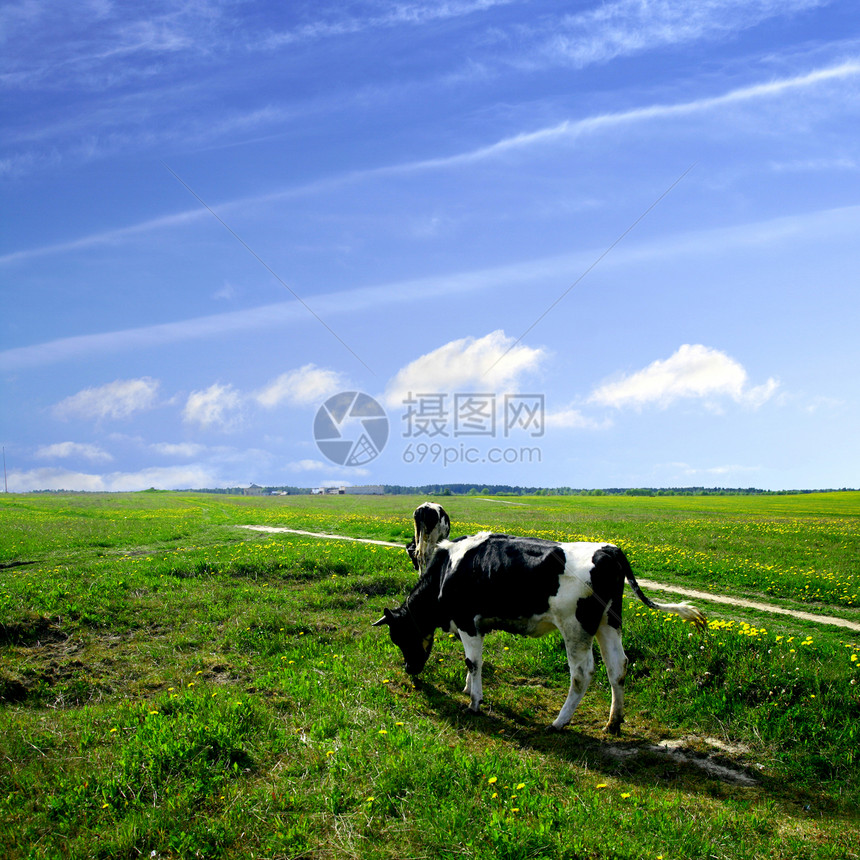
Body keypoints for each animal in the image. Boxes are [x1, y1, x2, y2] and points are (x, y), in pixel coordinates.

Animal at [372, 532, 704, 732]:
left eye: (400, 637)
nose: (409, 669)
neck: (448, 569)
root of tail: (610, 550)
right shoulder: (475, 625)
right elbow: (472, 663)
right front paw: (467, 688)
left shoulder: (468, 621)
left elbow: (473, 662)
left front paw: (474, 702)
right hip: (609, 622)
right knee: (617, 667)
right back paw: (614, 722)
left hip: (575, 628)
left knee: (582, 673)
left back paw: (559, 721)